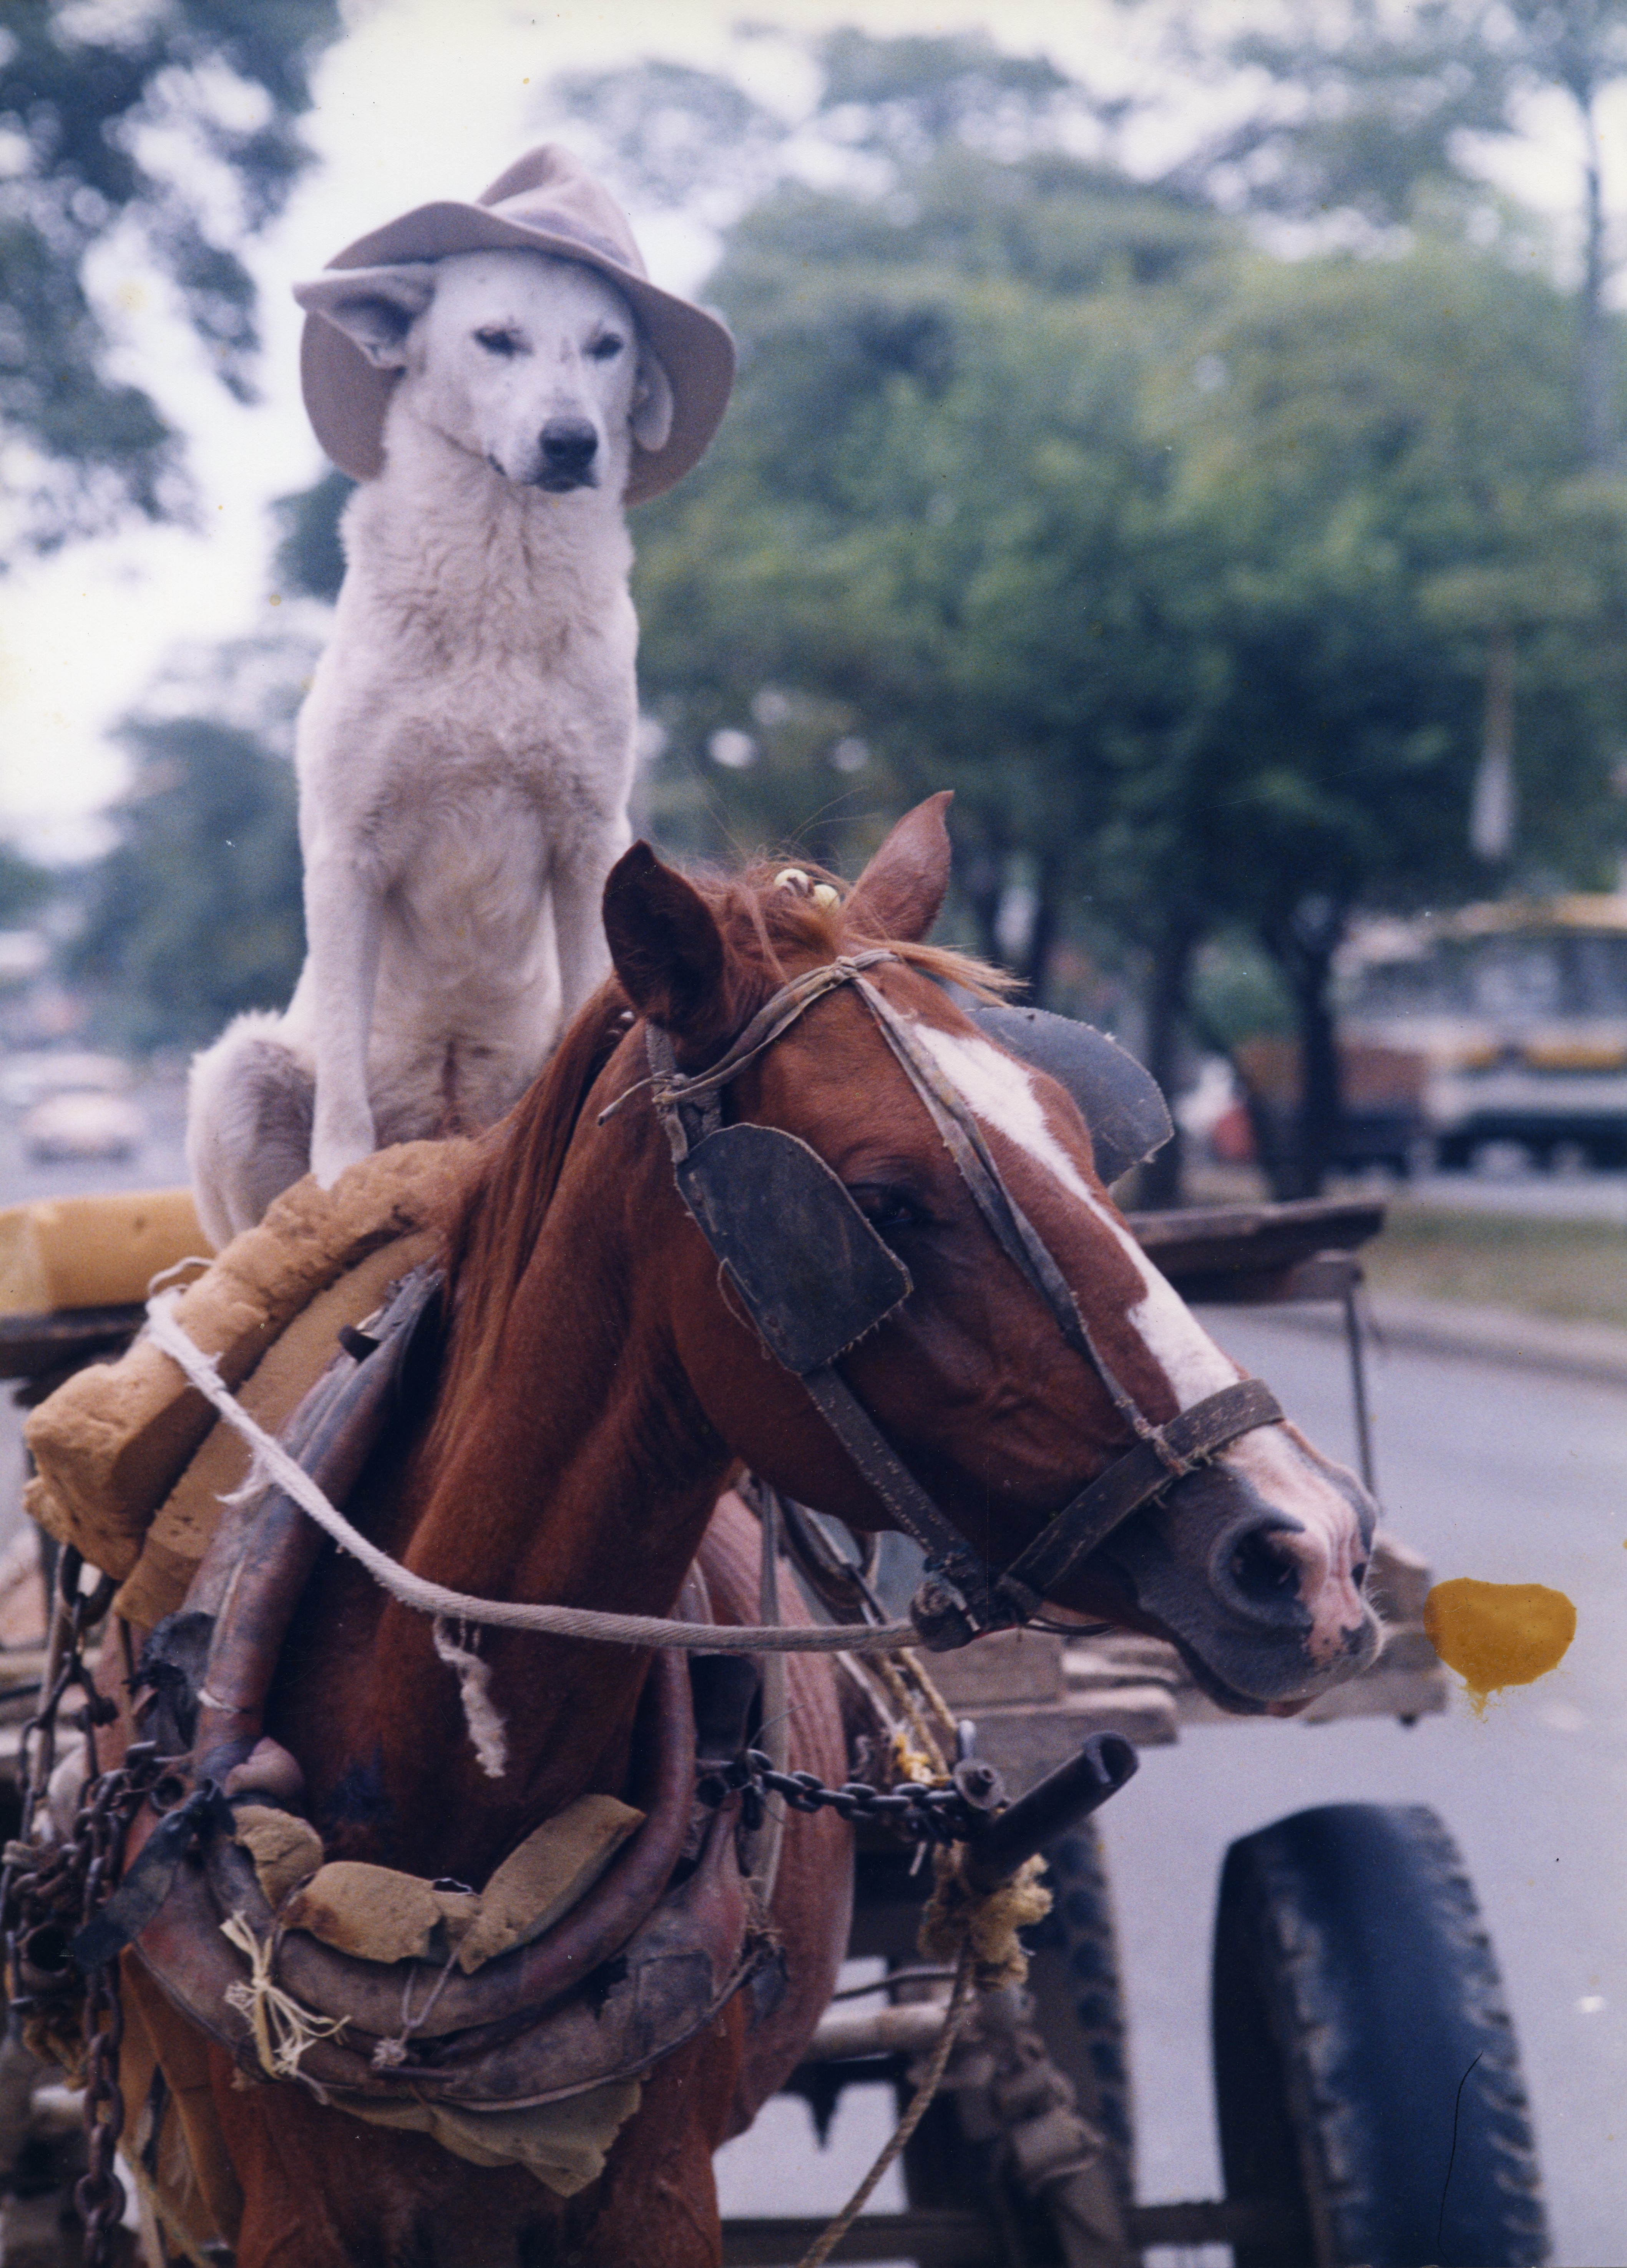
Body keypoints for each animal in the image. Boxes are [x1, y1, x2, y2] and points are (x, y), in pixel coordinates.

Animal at [187, 148, 733, 1248]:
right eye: (496, 340)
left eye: (607, 346)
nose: (570, 442)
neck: (498, 590)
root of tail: (441, 1122)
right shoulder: (347, 848)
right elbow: (342, 1084)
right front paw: (341, 1185)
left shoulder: (586, 839)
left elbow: (595, 1007)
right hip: (239, 1071)